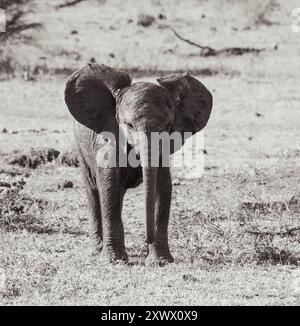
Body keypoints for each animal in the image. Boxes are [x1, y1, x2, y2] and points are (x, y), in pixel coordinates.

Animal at [64, 63, 212, 264]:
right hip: (80, 147)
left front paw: (160, 262)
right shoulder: (108, 139)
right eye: (129, 126)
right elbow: (109, 183)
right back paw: (96, 250)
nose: (146, 239)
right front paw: (115, 261)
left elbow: (162, 186)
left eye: (167, 126)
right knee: (93, 191)